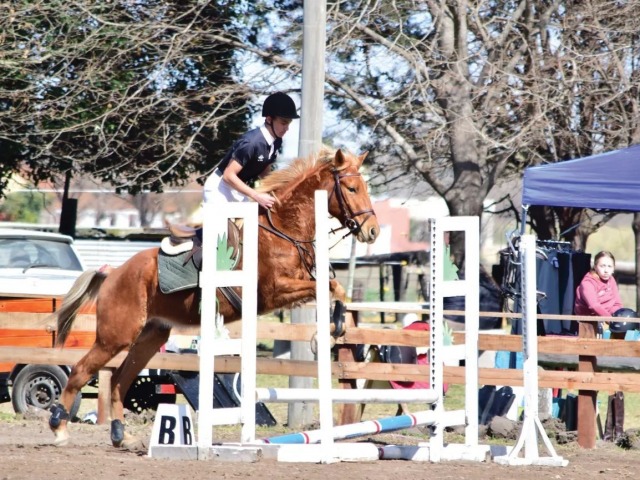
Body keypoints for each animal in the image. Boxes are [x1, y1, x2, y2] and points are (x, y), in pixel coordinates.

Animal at [50, 145, 380, 446]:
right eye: (352, 188)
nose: (373, 232)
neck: (283, 230)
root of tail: (113, 273)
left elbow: (336, 290)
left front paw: (332, 332)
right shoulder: (274, 292)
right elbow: (327, 288)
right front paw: (325, 335)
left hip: (150, 336)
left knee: (120, 380)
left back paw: (121, 436)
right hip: (116, 336)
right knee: (80, 371)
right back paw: (59, 429)